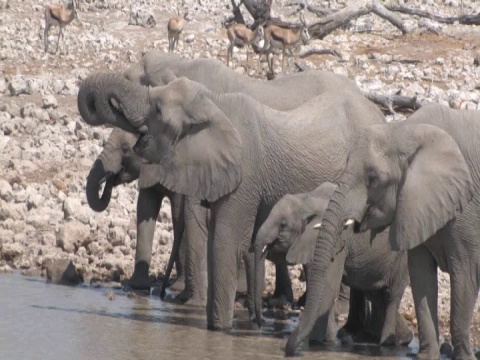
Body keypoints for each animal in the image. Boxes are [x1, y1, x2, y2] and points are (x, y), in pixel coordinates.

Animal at [77, 69, 386, 330]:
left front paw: (216, 327)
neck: (213, 104)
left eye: (158, 109)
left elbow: (222, 241)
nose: (163, 294)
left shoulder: (243, 175)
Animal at [255, 183, 412, 346]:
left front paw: (318, 342)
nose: (260, 324)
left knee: (391, 296)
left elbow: (327, 287)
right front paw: (329, 339)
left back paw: (387, 342)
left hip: (401, 257)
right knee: (376, 295)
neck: (306, 199)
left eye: (283, 225)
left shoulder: (336, 239)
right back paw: (401, 339)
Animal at [284, 102, 476, 358]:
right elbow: (421, 276)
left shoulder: (467, 212)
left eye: (373, 179)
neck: (406, 131)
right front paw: (426, 356)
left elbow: (464, 274)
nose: (289, 351)